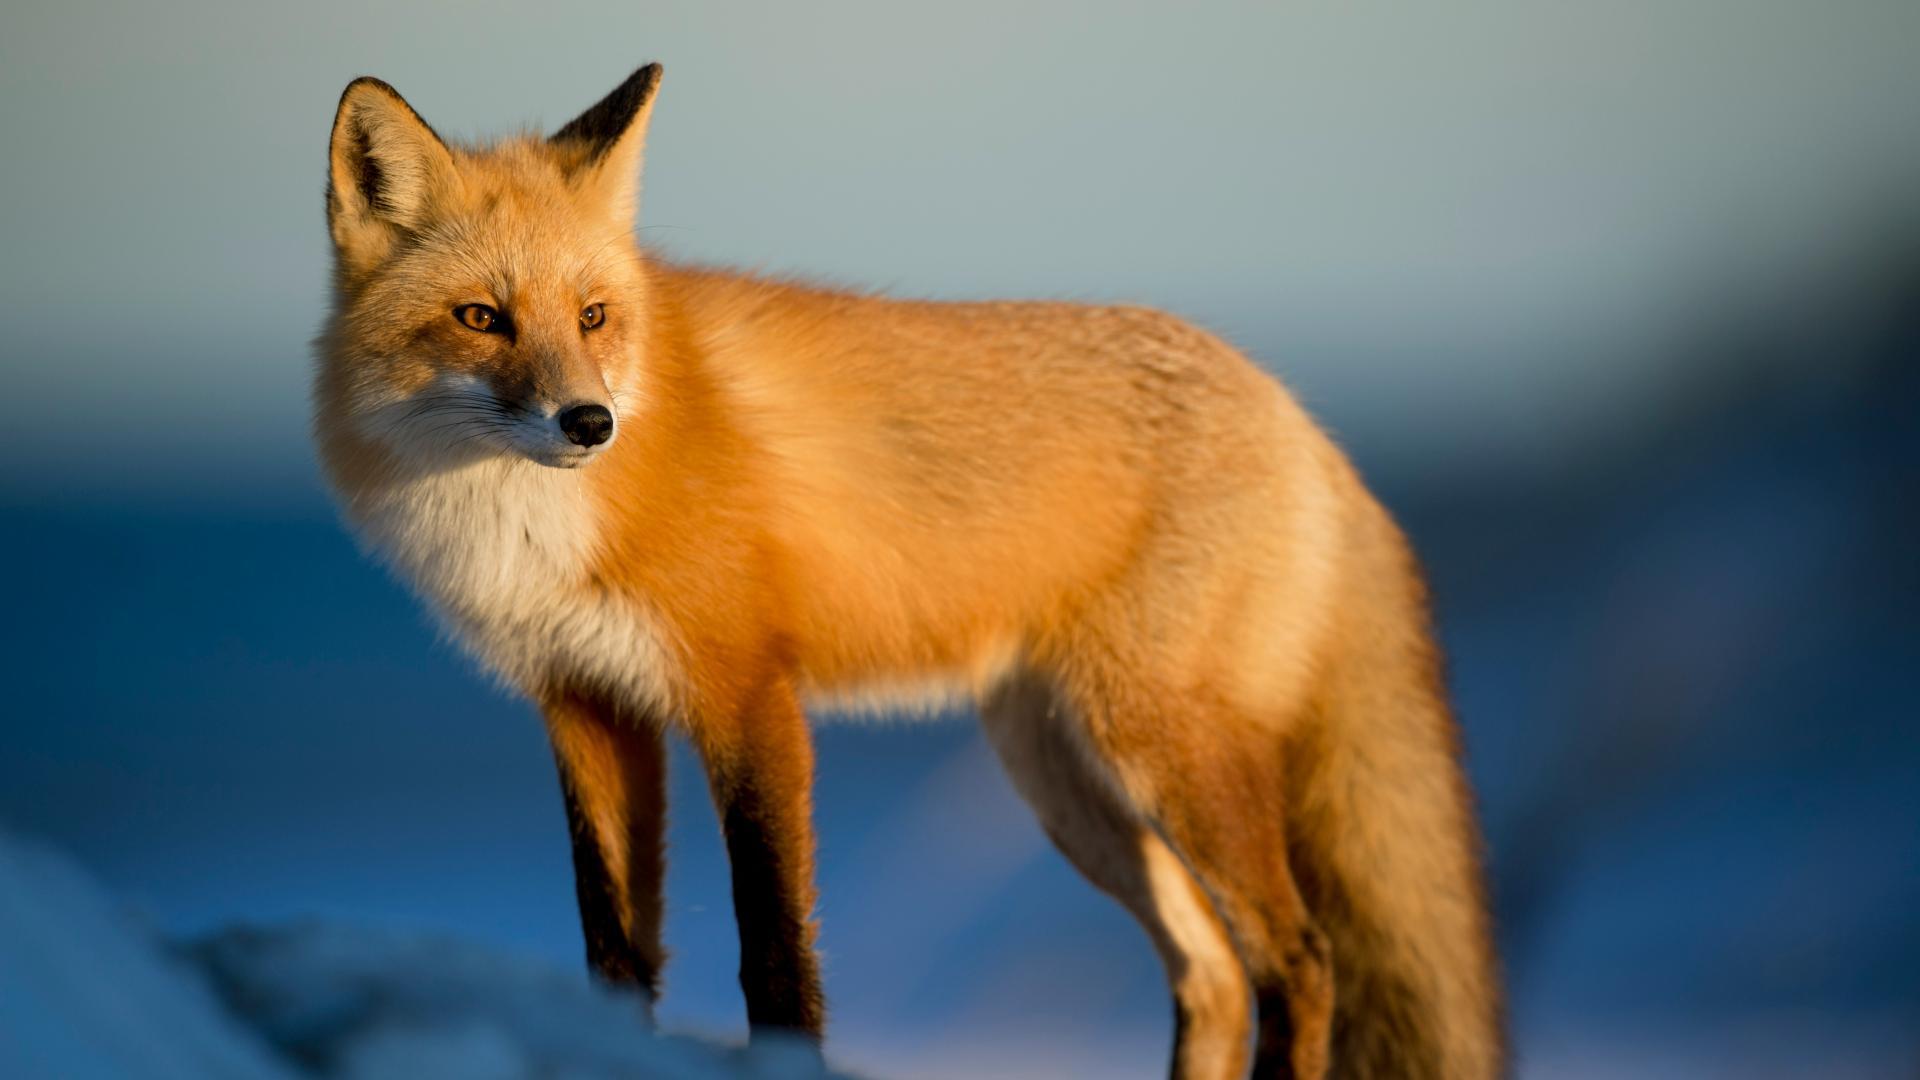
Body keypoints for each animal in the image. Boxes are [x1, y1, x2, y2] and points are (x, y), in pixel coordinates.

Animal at [314, 67, 1505, 1076]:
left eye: (594, 316)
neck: (528, 528)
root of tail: (1300, 416)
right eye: (482, 317)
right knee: (1210, 972)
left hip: (1163, 751)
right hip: (1066, 781)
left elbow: (774, 952)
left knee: (1299, 961)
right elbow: (614, 950)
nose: (590, 423)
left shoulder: (747, 695)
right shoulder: (585, 704)